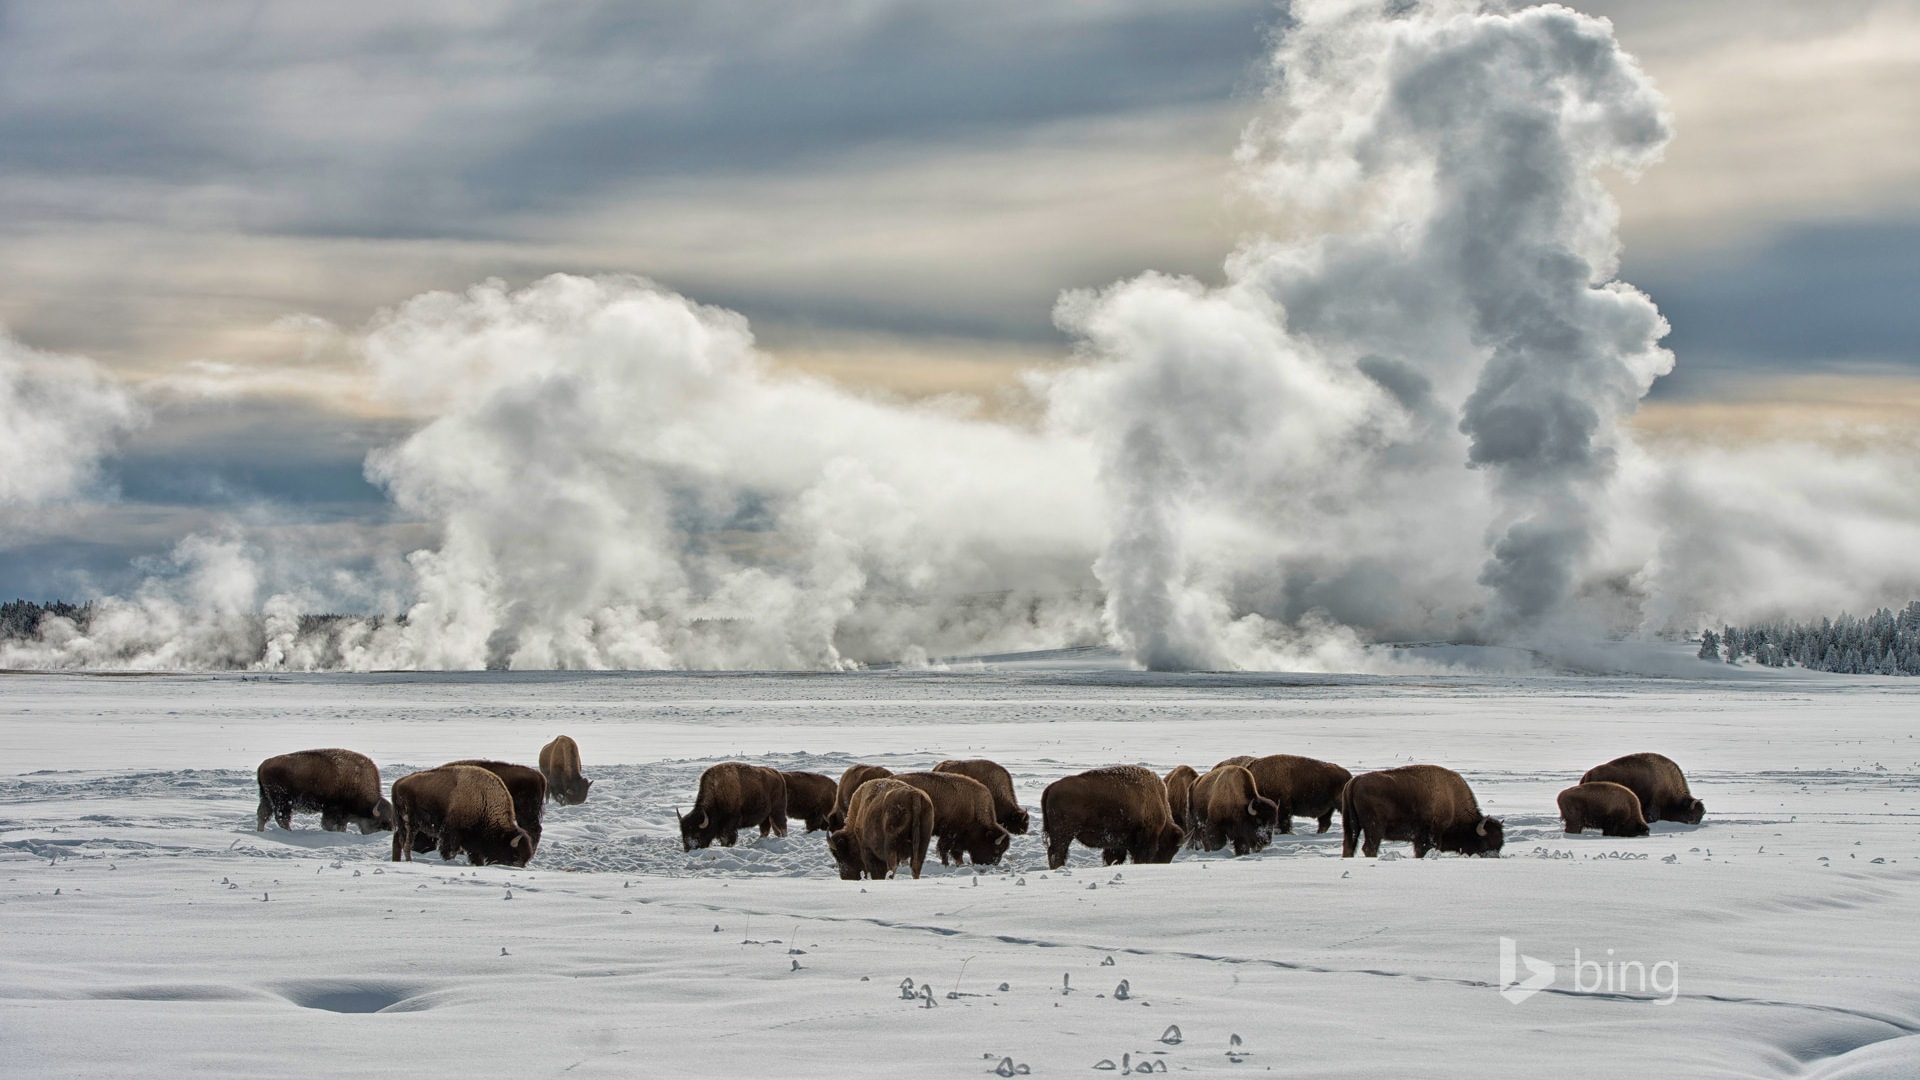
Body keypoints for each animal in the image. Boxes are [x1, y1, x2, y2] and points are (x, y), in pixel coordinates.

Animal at [255, 749, 393, 834]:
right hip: (282, 802)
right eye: (381, 823)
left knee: (263, 815)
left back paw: (261, 831)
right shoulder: (333, 811)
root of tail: (264, 764)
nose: (390, 831)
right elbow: (331, 825)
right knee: (282, 819)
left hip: (266, 799)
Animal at [387, 757, 533, 864]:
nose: (519, 866)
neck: (484, 798)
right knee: (405, 844)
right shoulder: (451, 833)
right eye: (515, 855)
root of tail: (398, 783)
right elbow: (450, 851)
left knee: (399, 841)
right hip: (408, 824)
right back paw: (408, 861)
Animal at [1036, 764, 1182, 864]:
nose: (1162, 862)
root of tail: (1051, 787)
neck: (1156, 798)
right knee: (1057, 853)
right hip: (1063, 834)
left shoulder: (1116, 844)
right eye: (1167, 847)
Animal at [1336, 764, 1497, 857]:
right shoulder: (1432, 834)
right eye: (1485, 843)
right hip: (1374, 828)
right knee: (1369, 847)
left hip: (1351, 825)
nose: (1493, 856)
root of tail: (1353, 782)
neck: (1452, 798)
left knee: (1349, 846)